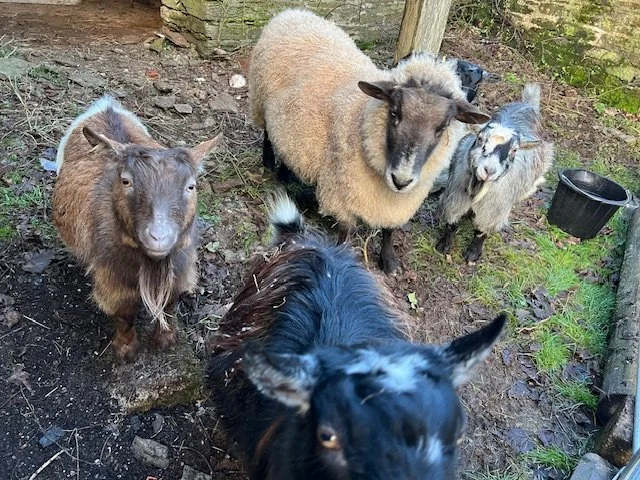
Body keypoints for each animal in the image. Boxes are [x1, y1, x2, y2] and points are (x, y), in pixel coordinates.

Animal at [52, 95, 221, 362]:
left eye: (191, 186)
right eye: (126, 181)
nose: (158, 237)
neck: (151, 265)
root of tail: (106, 107)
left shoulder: (180, 273)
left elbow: (170, 305)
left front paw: (165, 340)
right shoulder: (113, 282)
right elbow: (124, 316)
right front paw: (126, 351)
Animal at [249, 9, 490, 274]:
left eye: (442, 127)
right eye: (394, 113)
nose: (401, 179)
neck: (361, 119)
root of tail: (293, 12)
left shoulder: (395, 203)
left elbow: (389, 231)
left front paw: (389, 261)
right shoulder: (341, 192)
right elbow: (345, 230)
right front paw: (343, 255)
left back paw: (286, 174)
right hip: (260, 98)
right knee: (267, 134)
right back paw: (268, 164)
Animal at [436, 84, 554, 263]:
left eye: (514, 150)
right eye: (480, 139)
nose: (489, 171)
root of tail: (528, 104)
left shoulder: (494, 208)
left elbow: (481, 231)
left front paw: (473, 255)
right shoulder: (454, 196)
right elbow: (452, 223)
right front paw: (443, 246)